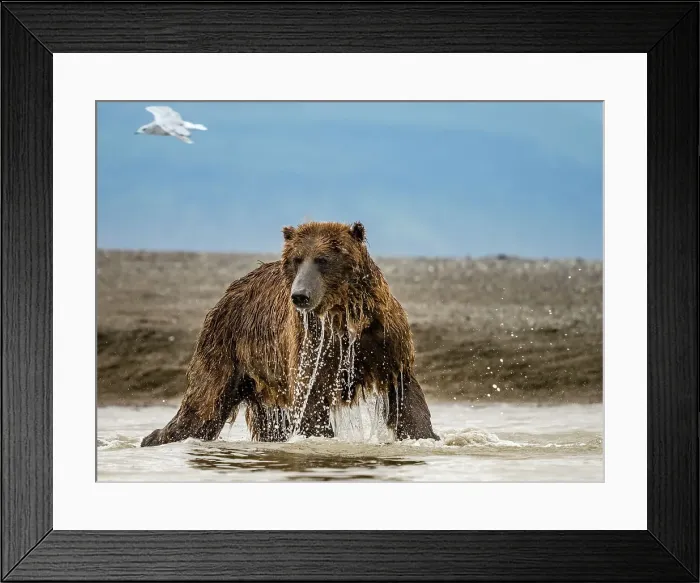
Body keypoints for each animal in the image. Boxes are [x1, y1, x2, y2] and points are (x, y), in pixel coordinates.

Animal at [140, 221, 438, 447]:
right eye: (297, 259)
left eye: (322, 259)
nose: (300, 295)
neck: (344, 317)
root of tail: (227, 294)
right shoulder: (312, 344)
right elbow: (311, 398)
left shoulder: (384, 341)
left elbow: (407, 396)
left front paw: (425, 437)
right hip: (227, 346)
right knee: (204, 404)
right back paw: (155, 438)